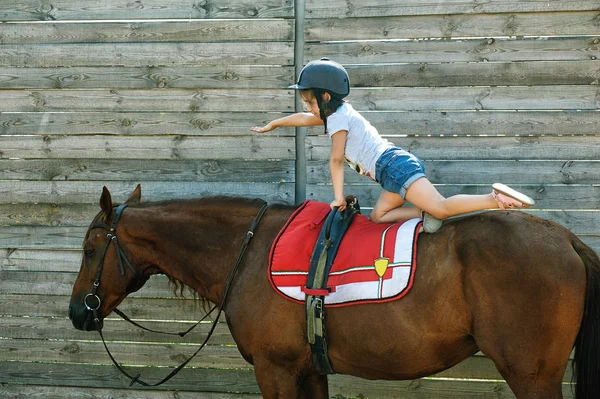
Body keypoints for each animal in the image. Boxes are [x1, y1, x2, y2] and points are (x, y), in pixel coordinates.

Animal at [70, 186, 600, 398]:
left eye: (91, 248)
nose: (78, 310)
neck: (248, 249)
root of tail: (566, 239)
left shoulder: (275, 370)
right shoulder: (309, 370)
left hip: (532, 375)